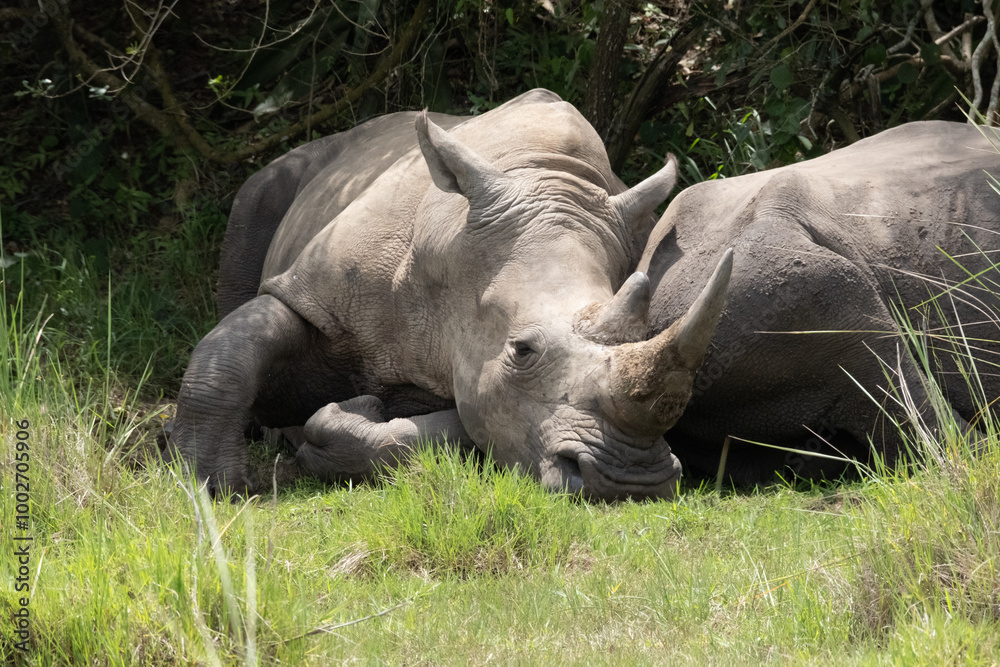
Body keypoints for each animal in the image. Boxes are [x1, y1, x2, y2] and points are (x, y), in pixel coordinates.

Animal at [169, 89, 733, 500]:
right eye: (521, 351)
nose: (630, 480)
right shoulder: (312, 295)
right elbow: (234, 349)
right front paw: (211, 485)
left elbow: (451, 430)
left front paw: (349, 419)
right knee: (254, 202)